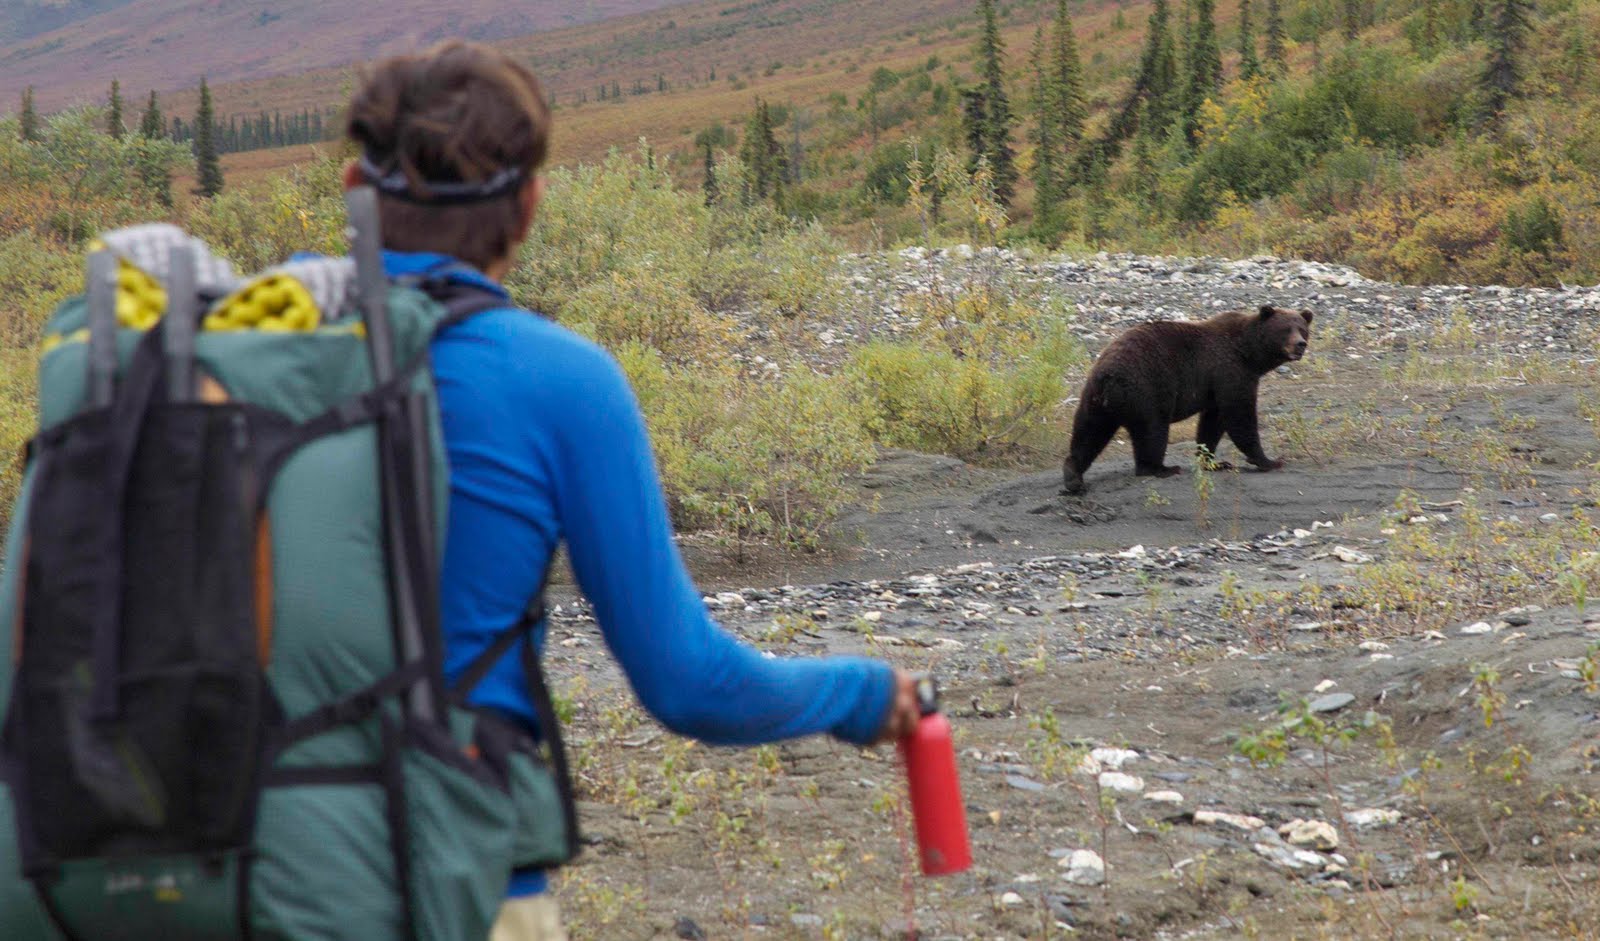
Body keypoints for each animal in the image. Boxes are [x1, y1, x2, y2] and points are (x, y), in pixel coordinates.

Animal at [1061, 305, 1313, 495]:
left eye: (1302, 329)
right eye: (1285, 329)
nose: (1300, 344)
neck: (1250, 354)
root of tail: (1108, 375)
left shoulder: (1215, 387)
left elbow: (1212, 423)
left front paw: (1214, 461)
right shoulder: (1230, 371)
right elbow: (1240, 415)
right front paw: (1268, 460)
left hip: (1094, 399)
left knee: (1088, 433)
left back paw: (1073, 477)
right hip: (1147, 390)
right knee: (1152, 431)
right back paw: (1162, 468)